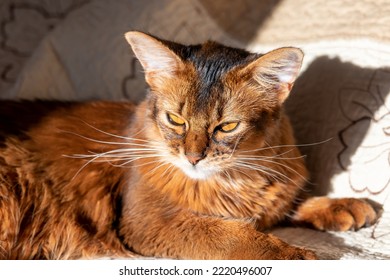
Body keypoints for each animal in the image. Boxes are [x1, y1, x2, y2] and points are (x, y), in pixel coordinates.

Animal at [0, 31, 378, 260]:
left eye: (227, 126)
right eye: (175, 120)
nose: (194, 158)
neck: (237, 177)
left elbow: (288, 204)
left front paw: (342, 205)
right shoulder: (147, 220)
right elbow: (232, 235)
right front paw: (296, 255)